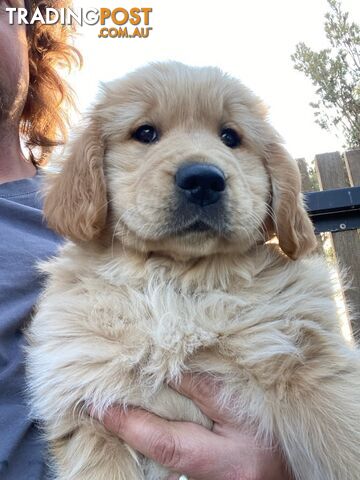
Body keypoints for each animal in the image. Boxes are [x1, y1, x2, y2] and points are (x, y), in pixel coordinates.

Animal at [26, 62, 360, 480]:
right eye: (145, 133)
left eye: (231, 137)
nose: (203, 179)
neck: (175, 278)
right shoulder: (90, 413)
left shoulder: (310, 361)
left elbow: (345, 439)